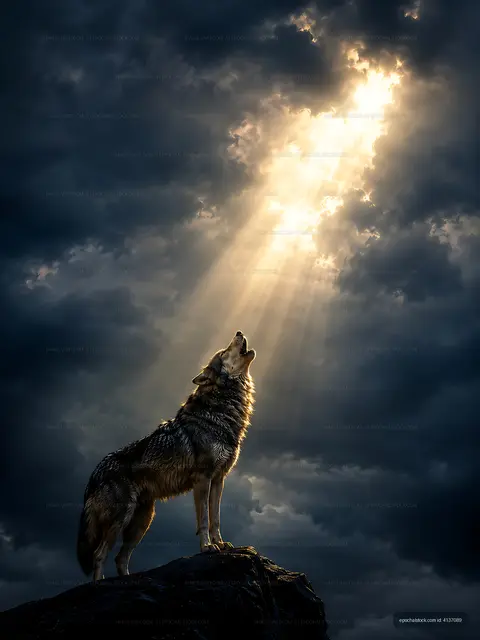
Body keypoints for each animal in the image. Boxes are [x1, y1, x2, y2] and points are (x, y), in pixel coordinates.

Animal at [77, 330, 255, 581]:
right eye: (224, 351)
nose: (238, 332)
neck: (220, 411)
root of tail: (94, 474)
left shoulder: (219, 480)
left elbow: (216, 519)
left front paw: (221, 544)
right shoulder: (202, 479)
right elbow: (203, 519)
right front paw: (207, 547)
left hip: (143, 521)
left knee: (120, 558)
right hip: (121, 519)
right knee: (99, 555)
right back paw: (99, 584)